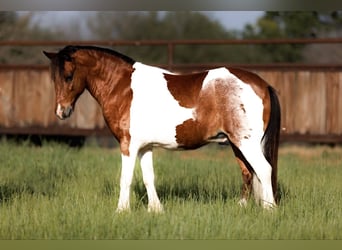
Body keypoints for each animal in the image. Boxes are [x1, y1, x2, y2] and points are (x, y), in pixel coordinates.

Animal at [43, 45, 280, 213]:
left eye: (68, 76)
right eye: (53, 78)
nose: (61, 111)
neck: (123, 87)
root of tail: (263, 84)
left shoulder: (128, 145)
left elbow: (125, 178)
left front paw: (121, 211)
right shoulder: (145, 147)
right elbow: (149, 177)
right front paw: (155, 210)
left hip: (245, 143)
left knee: (263, 170)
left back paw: (270, 210)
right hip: (236, 143)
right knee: (248, 173)